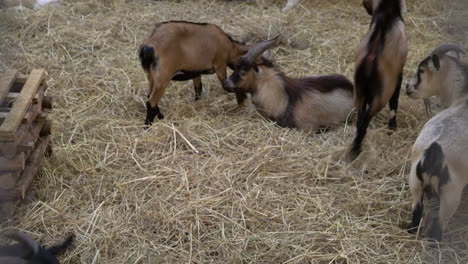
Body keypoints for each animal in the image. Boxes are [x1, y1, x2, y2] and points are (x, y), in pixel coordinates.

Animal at [346, 0, 408, 161]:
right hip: (382, 95)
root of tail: (371, 56)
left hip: (359, 91)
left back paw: (355, 148)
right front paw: (392, 128)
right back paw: (355, 150)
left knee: (360, 120)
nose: (365, 6)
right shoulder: (398, 76)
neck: (387, 11)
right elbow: (395, 102)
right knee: (364, 121)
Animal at [406, 43, 468, 241]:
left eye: (421, 70)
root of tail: (433, 152)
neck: (462, 99)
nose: (407, 87)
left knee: (416, 214)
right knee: (438, 227)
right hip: (451, 194)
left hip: (414, 181)